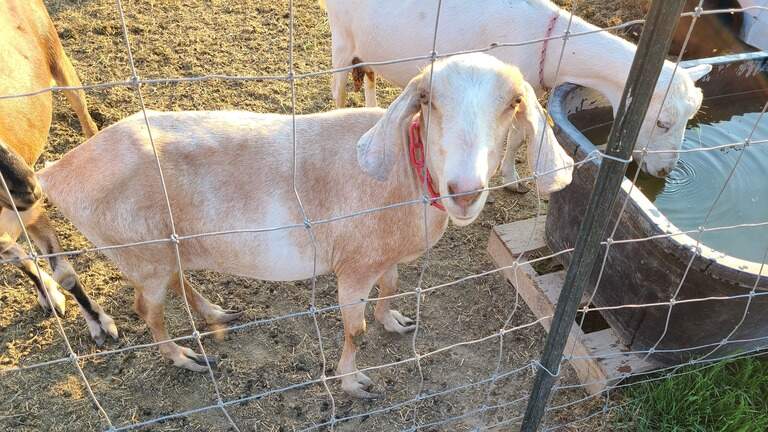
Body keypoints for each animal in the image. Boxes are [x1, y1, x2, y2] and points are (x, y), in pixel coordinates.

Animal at [0, 0, 116, 344]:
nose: (29, 188)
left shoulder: (32, 213)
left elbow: (64, 274)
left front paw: (100, 323)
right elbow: (21, 259)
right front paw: (48, 296)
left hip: (58, 57)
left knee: (84, 112)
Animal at [38, 53, 573, 398]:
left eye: (513, 103)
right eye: (428, 99)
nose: (463, 190)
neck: (402, 172)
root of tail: (57, 172)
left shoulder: (381, 256)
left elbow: (393, 287)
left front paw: (395, 321)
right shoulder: (352, 266)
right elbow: (355, 329)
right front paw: (354, 383)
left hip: (169, 245)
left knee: (178, 280)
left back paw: (216, 314)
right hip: (140, 250)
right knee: (147, 309)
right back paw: (186, 358)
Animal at [320, 0, 713, 189]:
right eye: (662, 122)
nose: (665, 172)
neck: (549, 42)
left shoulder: (525, 89)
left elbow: (521, 135)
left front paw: (511, 177)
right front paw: (506, 179)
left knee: (368, 74)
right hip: (342, 34)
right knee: (338, 84)